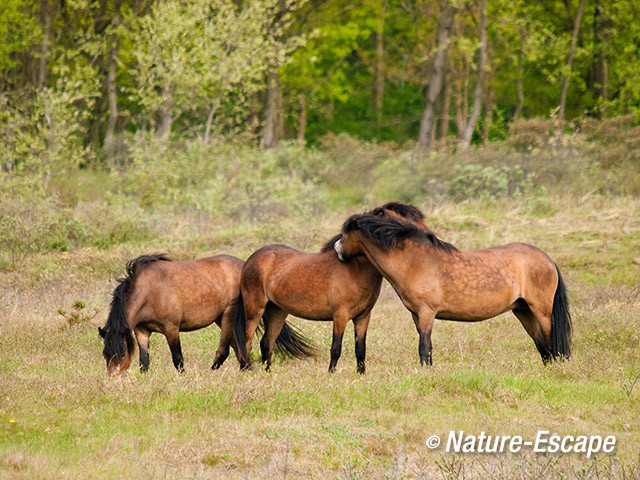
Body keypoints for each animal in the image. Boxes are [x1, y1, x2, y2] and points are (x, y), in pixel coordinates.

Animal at [232, 201, 428, 374]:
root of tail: (250, 260)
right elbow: (336, 348)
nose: (427, 236)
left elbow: (360, 348)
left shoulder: (363, 317)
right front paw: (331, 373)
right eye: (401, 221)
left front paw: (361, 374)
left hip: (277, 311)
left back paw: (268, 373)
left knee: (267, 343)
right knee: (247, 341)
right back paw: (246, 370)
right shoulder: (340, 316)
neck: (355, 267)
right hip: (255, 309)